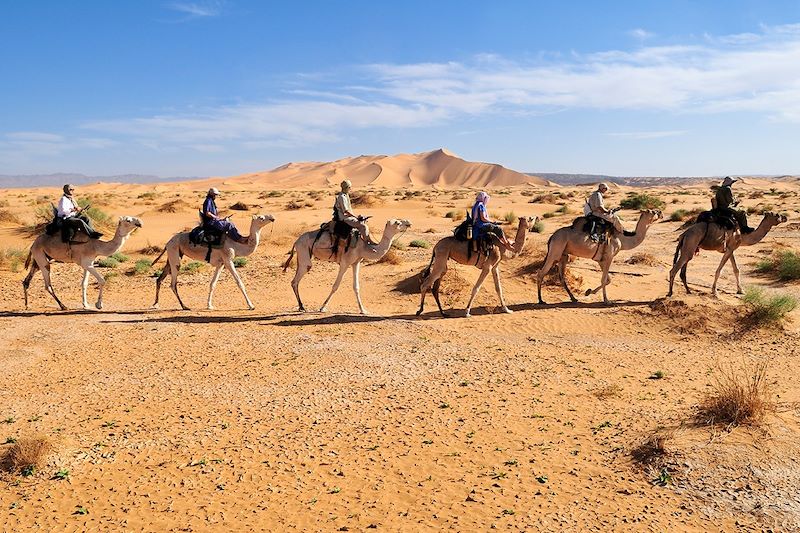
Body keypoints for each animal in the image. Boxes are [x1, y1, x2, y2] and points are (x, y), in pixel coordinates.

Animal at [284, 218, 412, 314]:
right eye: (397, 223)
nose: (408, 223)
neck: (364, 247)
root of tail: (296, 241)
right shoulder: (345, 263)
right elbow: (335, 286)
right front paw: (322, 307)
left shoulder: (356, 263)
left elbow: (356, 287)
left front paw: (363, 310)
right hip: (304, 254)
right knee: (296, 280)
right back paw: (302, 307)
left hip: (301, 257)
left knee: (295, 280)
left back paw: (301, 306)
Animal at [536, 210, 664, 306]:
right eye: (653, 211)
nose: (660, 212)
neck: (622, 239)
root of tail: (552, 237)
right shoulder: (609, 257)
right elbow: (604, 279)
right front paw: (607, 301)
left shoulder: (601, 260)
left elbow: (608, 280)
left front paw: (589, 292)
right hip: (555, 251)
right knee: (541, 273)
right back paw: (541, 300)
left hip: (564, 255)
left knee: (561, 277)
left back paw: (573, 298)